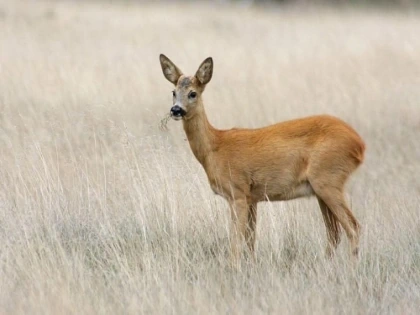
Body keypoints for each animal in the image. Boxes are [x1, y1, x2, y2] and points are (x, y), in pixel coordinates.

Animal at [159, 55, 366, 264]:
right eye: (173, 92)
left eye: (193, 93)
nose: (176, 110)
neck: (214, 147)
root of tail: (359, 144)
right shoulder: (253, 198)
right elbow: (250, 240)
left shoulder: (238, 192)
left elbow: (236, 240)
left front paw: (234, 268)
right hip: (321, 189)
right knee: (334, 232)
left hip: (328, 179)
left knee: (353, 227)